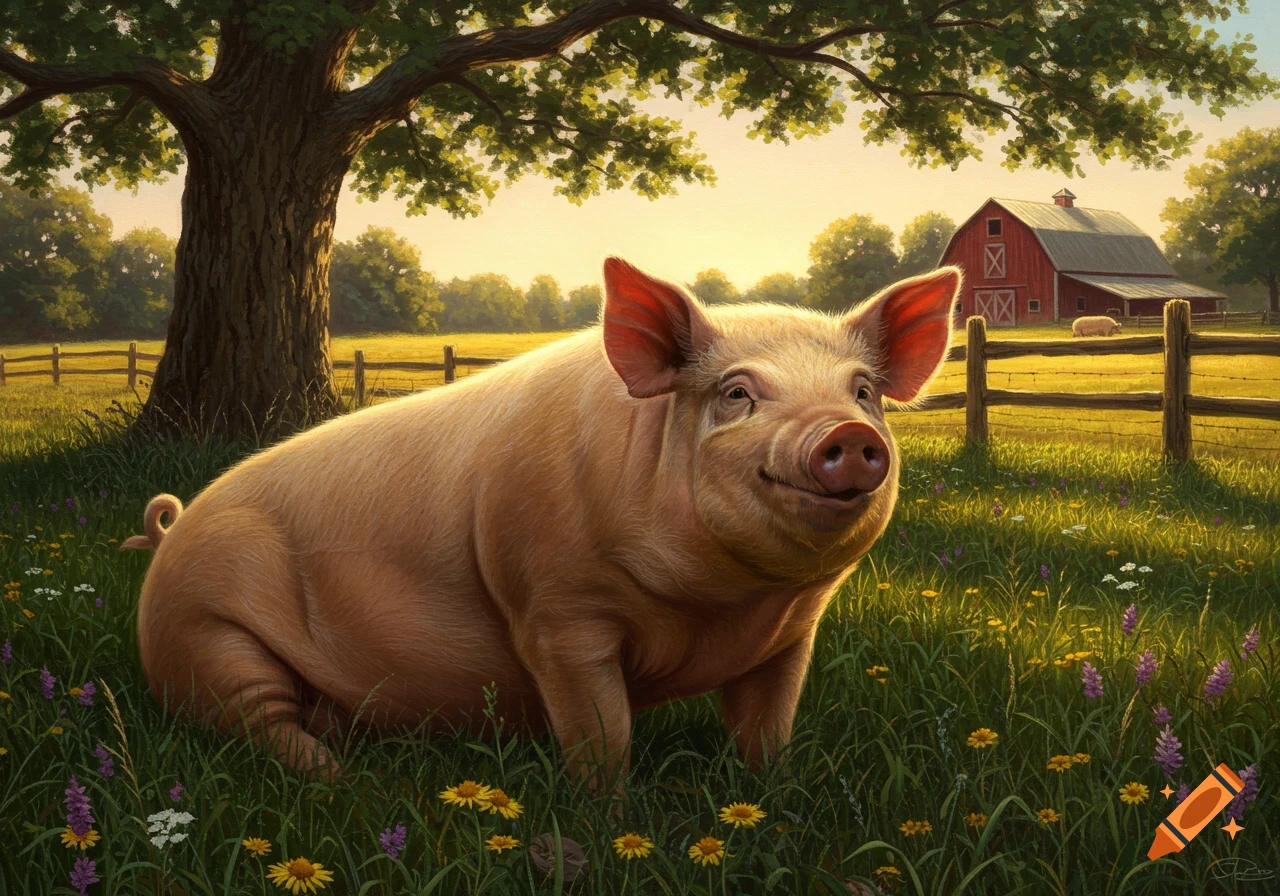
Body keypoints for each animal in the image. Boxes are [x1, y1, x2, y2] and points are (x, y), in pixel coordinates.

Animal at [124, 258, 961, 789]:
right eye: (736, 394)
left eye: (863, 391)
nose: (844, 433)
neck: (720, 607)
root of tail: (171, 532)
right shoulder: (556, 611)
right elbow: (602, 734)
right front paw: (606, 818)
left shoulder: (791, 634)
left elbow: (767, 729)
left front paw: (768, 805)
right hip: (205, 633)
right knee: (260, 724)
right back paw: (347, 784)